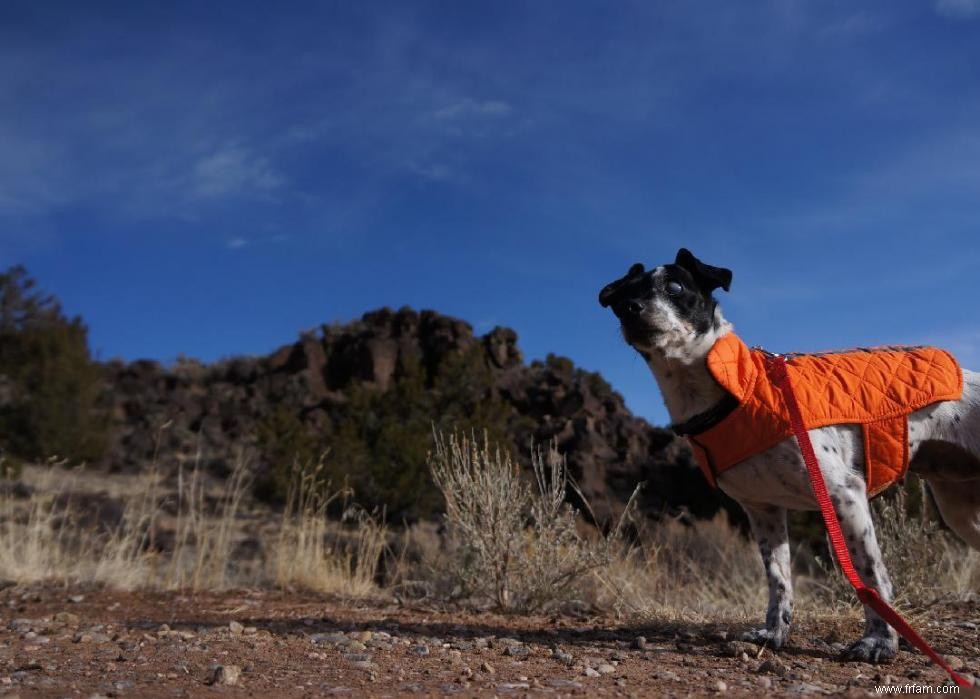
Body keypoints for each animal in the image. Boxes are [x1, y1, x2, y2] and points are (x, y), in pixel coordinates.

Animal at [596, 249, 980, 664]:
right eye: (624, 298)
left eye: (675, 287)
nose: (630, 310)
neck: (740, 391)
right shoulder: (762, 511)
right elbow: (779, 578)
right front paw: (773, 633)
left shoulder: (844, 495)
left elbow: (870, 574)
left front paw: (879, 641)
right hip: (960, 512)